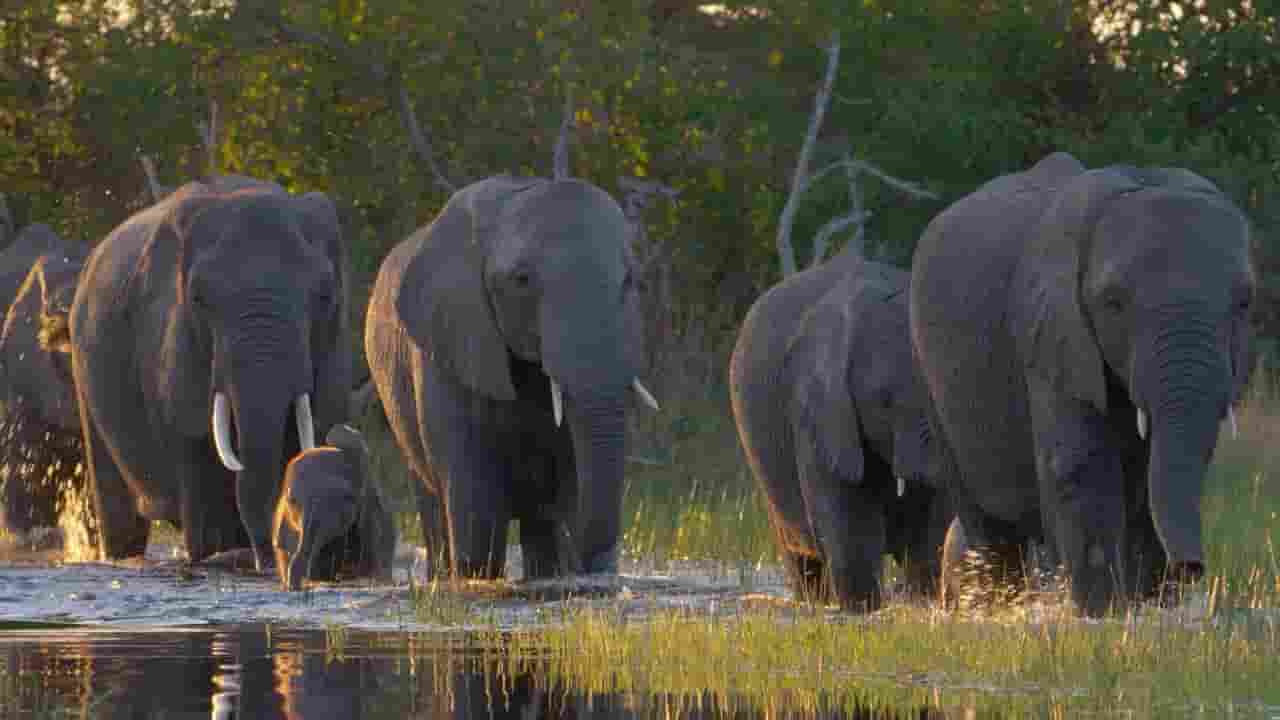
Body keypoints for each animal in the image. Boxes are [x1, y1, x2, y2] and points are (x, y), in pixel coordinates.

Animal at [365, 176, 659, 580]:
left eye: (631, 280)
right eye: (521, 280)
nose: (591, 567)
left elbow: (571, 477)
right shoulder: (449, 345)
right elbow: (476, 502)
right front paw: (476, 576)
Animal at [729, 246, 953, 612]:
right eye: (884, 401)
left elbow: (930, 528)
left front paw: (923, 604)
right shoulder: (815, 407)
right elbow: (851, 527)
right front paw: (865, 610)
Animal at [909, 152, 1253, 616]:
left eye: (1245, 302)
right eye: (1113, 303)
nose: (1192, 568)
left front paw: (1150, 610)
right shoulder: (1050, 331)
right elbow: (1079, 464)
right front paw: (1100, 613)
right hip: (927, 367)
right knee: (985, 520)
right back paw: (994, 607)